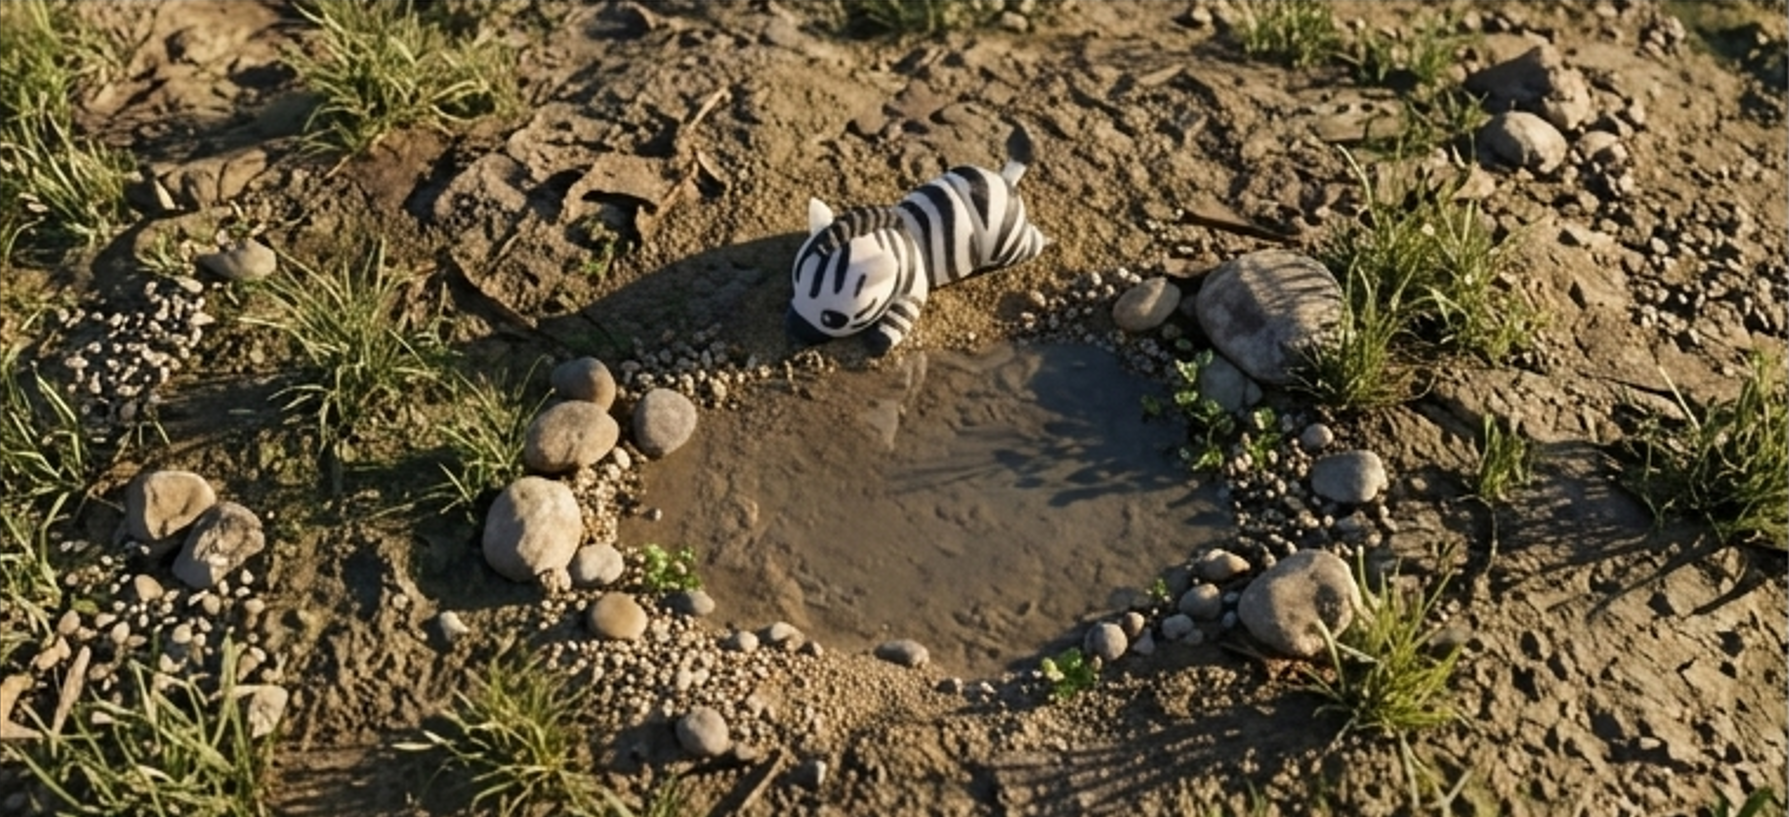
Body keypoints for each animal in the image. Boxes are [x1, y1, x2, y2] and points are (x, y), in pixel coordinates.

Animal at [785, 128, 1049, 355]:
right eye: (796, 284)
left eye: (831, 318)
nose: (795, 329)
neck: (900, 243)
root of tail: (1006, 181)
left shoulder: (913, 287)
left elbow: (900, 317)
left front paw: (878, 343)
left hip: (1010, 242)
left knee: (1029, 244)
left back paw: (1047, 240)